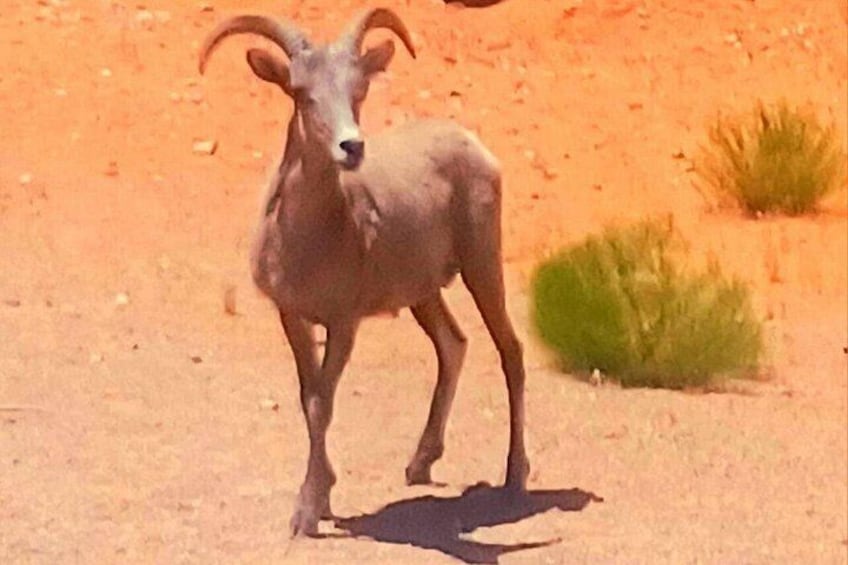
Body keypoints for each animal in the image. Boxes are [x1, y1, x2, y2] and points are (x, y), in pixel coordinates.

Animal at [199, 7, 530, 536]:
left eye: (359, 90)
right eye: (301, 92)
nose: (351, 147)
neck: (309, 240)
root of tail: (474, 146)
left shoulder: (343, 323)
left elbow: (322, 403)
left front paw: (308, 512)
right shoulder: (293, 317)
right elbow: (309, 399)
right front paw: (324, 496)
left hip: (482, 264)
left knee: (511, 352)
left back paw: (515, 477)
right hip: (424, 293)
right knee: (453, 345)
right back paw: (419, 464)